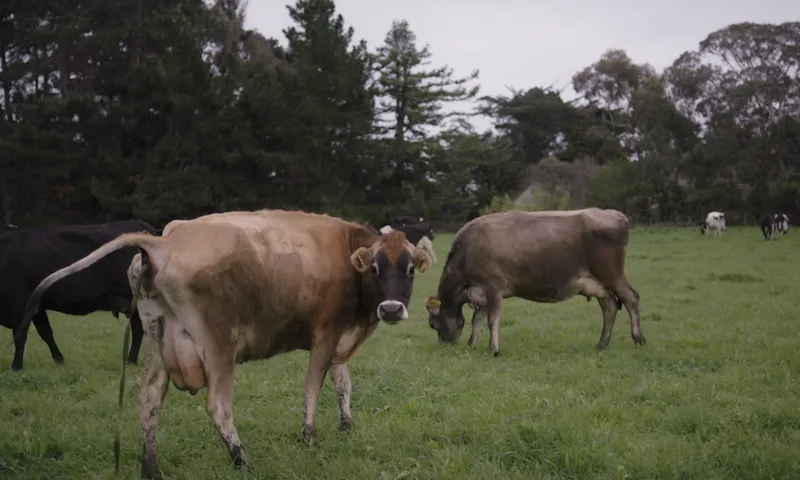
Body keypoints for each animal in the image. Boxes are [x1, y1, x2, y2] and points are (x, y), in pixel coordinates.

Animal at [2, 220, 157, 371]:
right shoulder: (37, 307)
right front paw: (59, 360)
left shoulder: (20, 304)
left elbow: (20, 335)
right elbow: (46, 333)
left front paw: (16, 366)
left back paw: (131, 361)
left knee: (138, 330)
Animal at [424, 208, 645, 357]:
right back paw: (602, 343)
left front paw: (494, 349)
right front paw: (473, 343)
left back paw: (639, 339)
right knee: (609, 305)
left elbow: (492, 319)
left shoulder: (493, 287)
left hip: (612, 274)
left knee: (631, 298)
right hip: (597, 283)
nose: (445, 343)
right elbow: (477, 319)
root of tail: (615, 214)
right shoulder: (479, 292)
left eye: (433, 324)